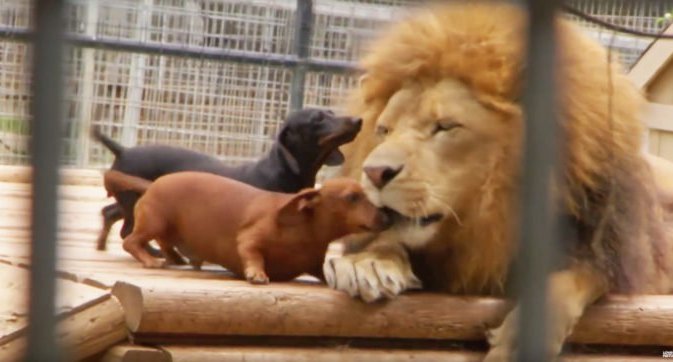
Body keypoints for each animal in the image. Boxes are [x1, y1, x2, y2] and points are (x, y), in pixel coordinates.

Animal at [320, 2, 672, 360]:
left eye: (445, 126)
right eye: (384, 130)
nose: (373, 172)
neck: (493, 221)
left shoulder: (615, 252)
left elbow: (577, 274)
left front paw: (521, 339)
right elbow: (388, 237)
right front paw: (368, 263)